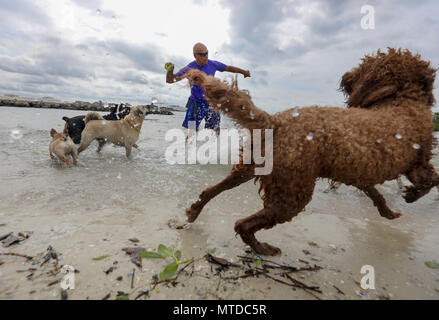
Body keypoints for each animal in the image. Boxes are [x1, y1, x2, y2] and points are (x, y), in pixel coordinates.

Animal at [185, 49, 439, 255]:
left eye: (365, 66)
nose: (345, 77)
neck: (400, 100)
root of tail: (274, 121)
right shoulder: (417, 161)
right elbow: (431, 180)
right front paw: (411, 194)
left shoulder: (357, 172)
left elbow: (376, 193)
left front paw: (388, 211)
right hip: (292, 193)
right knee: (243, 224)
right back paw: (263, 248)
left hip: (249, 167)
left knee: (212, 190)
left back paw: (195, 210)